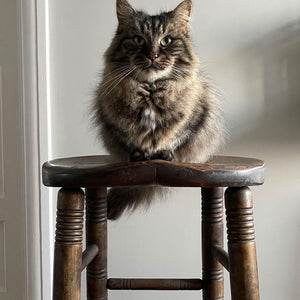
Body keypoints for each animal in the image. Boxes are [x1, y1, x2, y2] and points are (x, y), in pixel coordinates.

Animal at [92, 0, 224, 220]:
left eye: (166, 41)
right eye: (138, 39)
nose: (153, 55)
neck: (151, 92)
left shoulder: (196, 115)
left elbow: (176, 136)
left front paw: (163, 153)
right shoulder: (110, 119)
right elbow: (130, 141)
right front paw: (140, 154)